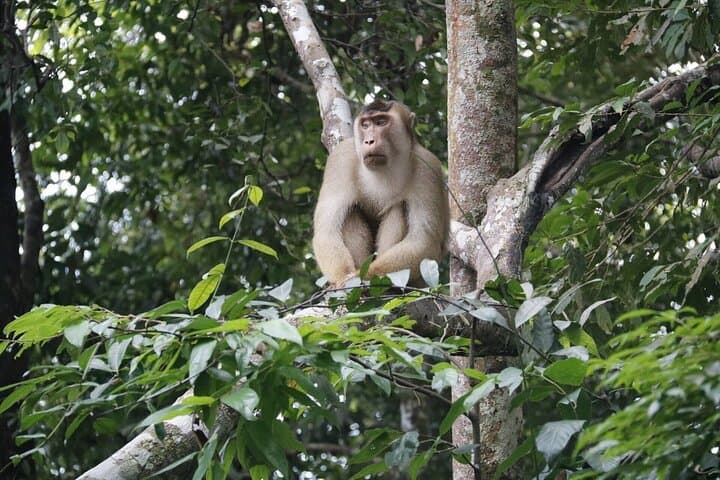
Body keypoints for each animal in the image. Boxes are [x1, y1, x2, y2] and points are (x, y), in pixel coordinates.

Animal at [312, 100, 449, 286]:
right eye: (365, 125)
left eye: (381, 122)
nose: (369, 141)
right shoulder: (341, 159)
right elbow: (326, 231)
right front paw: (343, 280)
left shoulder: (428, 168)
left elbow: (424, 240)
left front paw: (357, 277)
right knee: (349, 212)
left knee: (399, 207)